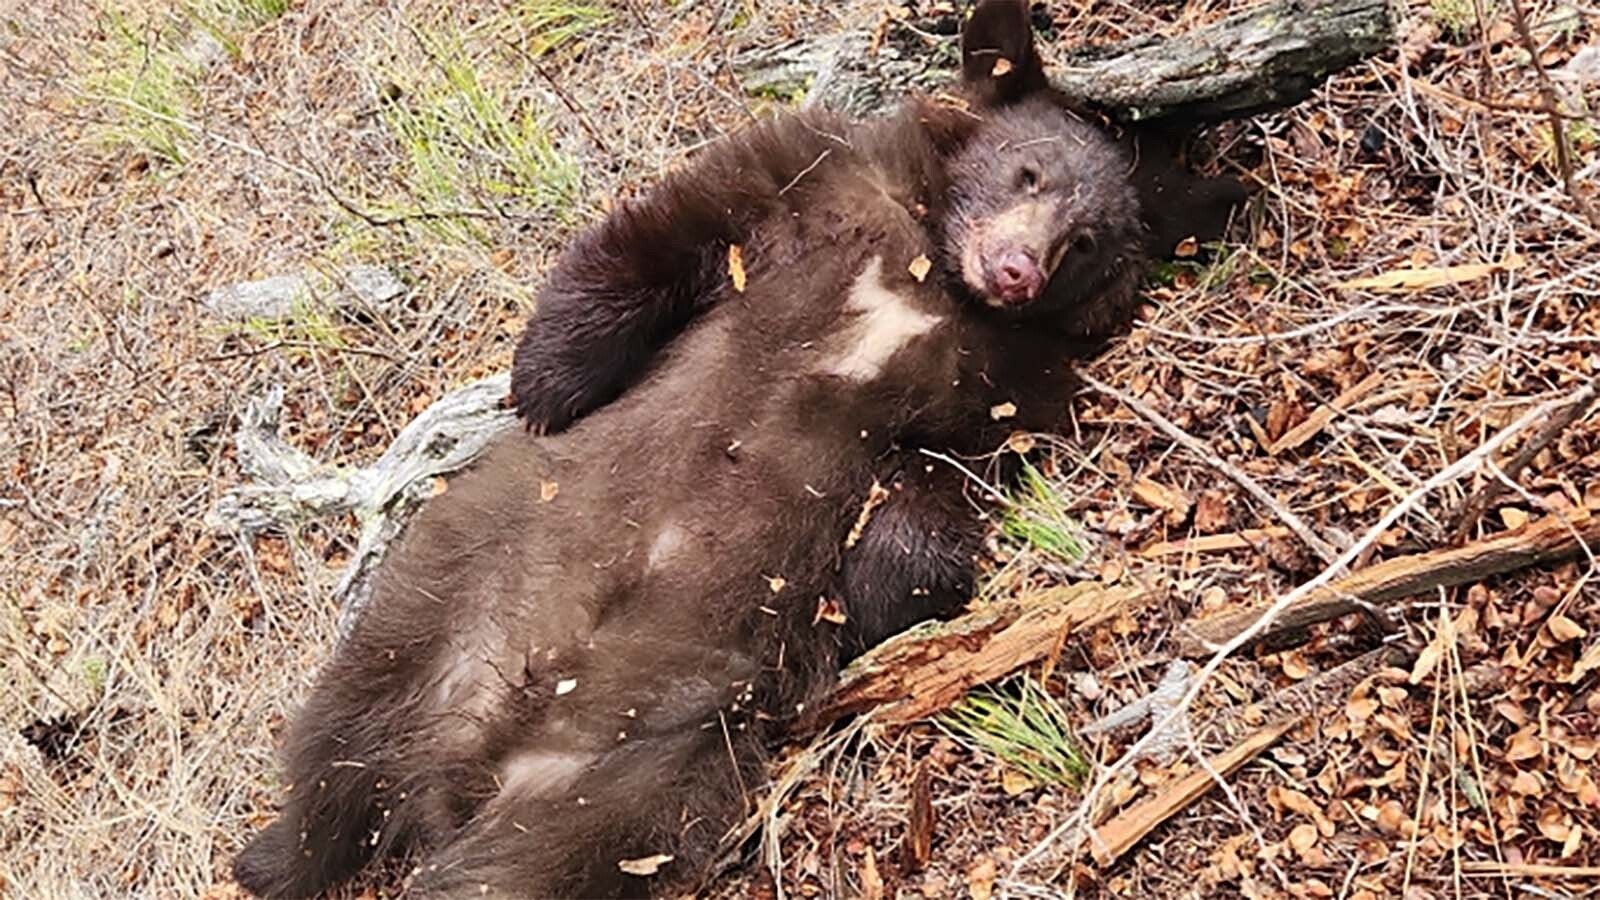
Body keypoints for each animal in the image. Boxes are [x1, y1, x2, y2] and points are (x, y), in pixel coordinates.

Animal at [233, 3, 1188, 898]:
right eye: (1029, 171)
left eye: (1087, 242)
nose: (1018, 267)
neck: (934, 280)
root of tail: (461, 769)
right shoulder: (813, 179)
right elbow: (668, 231)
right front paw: (545, 384)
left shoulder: (1003, 384)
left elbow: (942, 478)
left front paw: (884, 589)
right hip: (439, 593)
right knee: (334, 743)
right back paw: (270, 853)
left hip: (638, 779)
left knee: (498, 856)